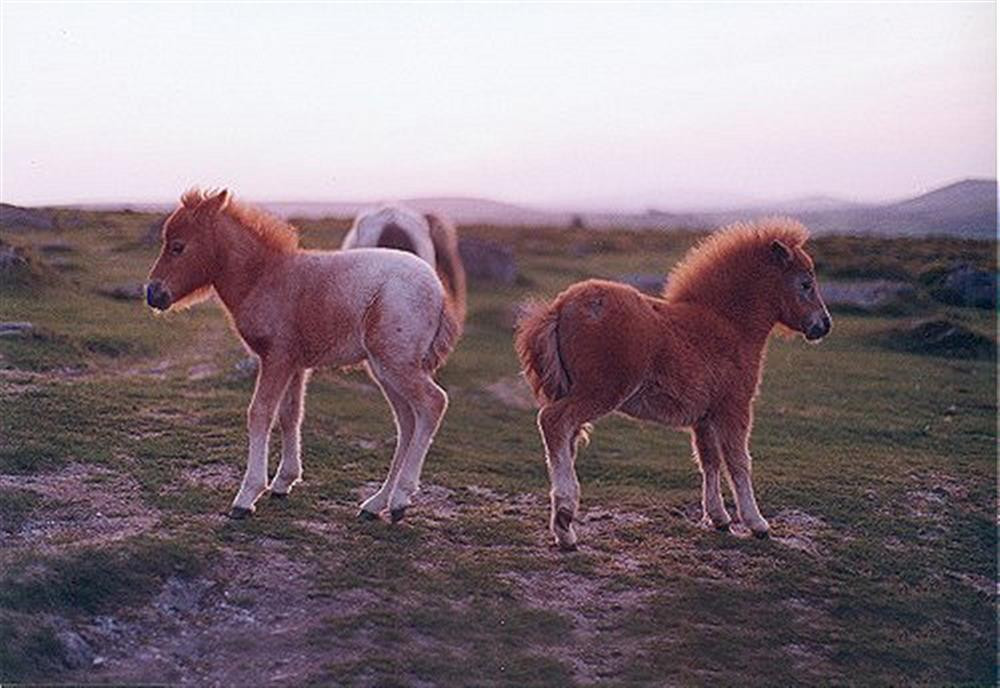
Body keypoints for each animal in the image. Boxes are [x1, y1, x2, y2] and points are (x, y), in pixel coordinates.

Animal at [145, 189, 459, 522]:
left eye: (178, 247)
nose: (152, 293)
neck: (264, 278)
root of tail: (440, 293)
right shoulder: (295, 365)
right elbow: (290, 414)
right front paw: (284, 482)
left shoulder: (277, 358)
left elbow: (260, 413)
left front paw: (247, 496)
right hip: (384, 369)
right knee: (407, 423)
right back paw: (376, 504)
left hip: (396, 365)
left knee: (433, 404)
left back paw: (400, 500)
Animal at [514, 218, 832, 550]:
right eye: (806, 284)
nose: (824, 324)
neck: (728, 325)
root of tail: (560, 305)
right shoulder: (735, 408)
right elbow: (738, 462)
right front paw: (757, 523)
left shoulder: (704, 418)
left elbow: (709, 461)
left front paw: (719, 518)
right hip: (599, 393)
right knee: (553, 421)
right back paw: (565, 520)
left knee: (566, 439)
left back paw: (563, 527)